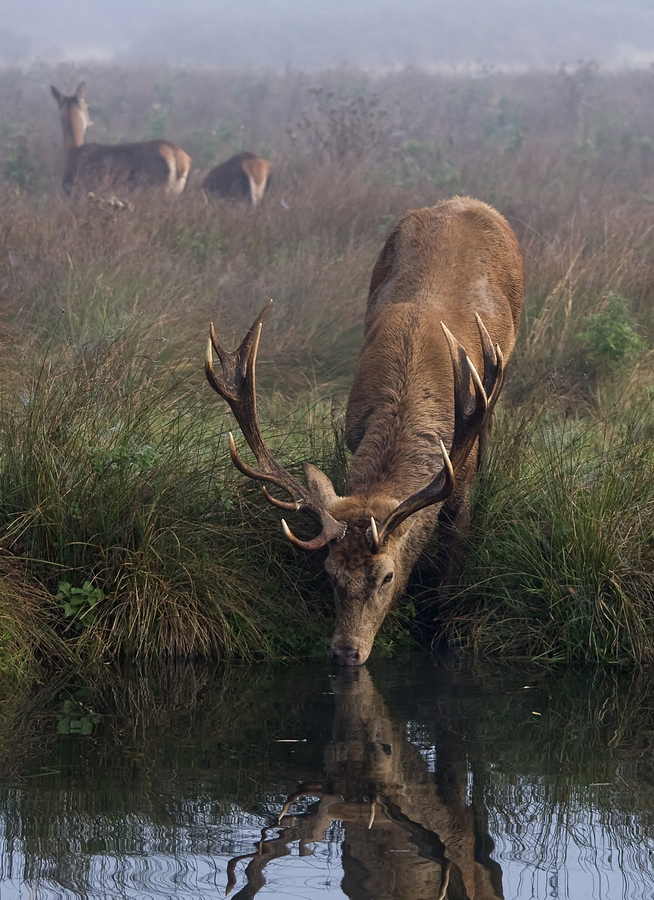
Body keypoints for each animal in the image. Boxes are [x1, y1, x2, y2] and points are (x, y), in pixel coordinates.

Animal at [50, 82, 192, 195]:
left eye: (88, 106)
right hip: (174, 192)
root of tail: (180, 159)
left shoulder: (77, 192)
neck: (72, 151)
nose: (90, 122)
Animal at [208, 197, 524, 664]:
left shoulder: (461, 479)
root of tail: (464, 201)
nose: (345, 652)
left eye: (387, 576)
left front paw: (441, 632)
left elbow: (451, 567)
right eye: (331, 573)